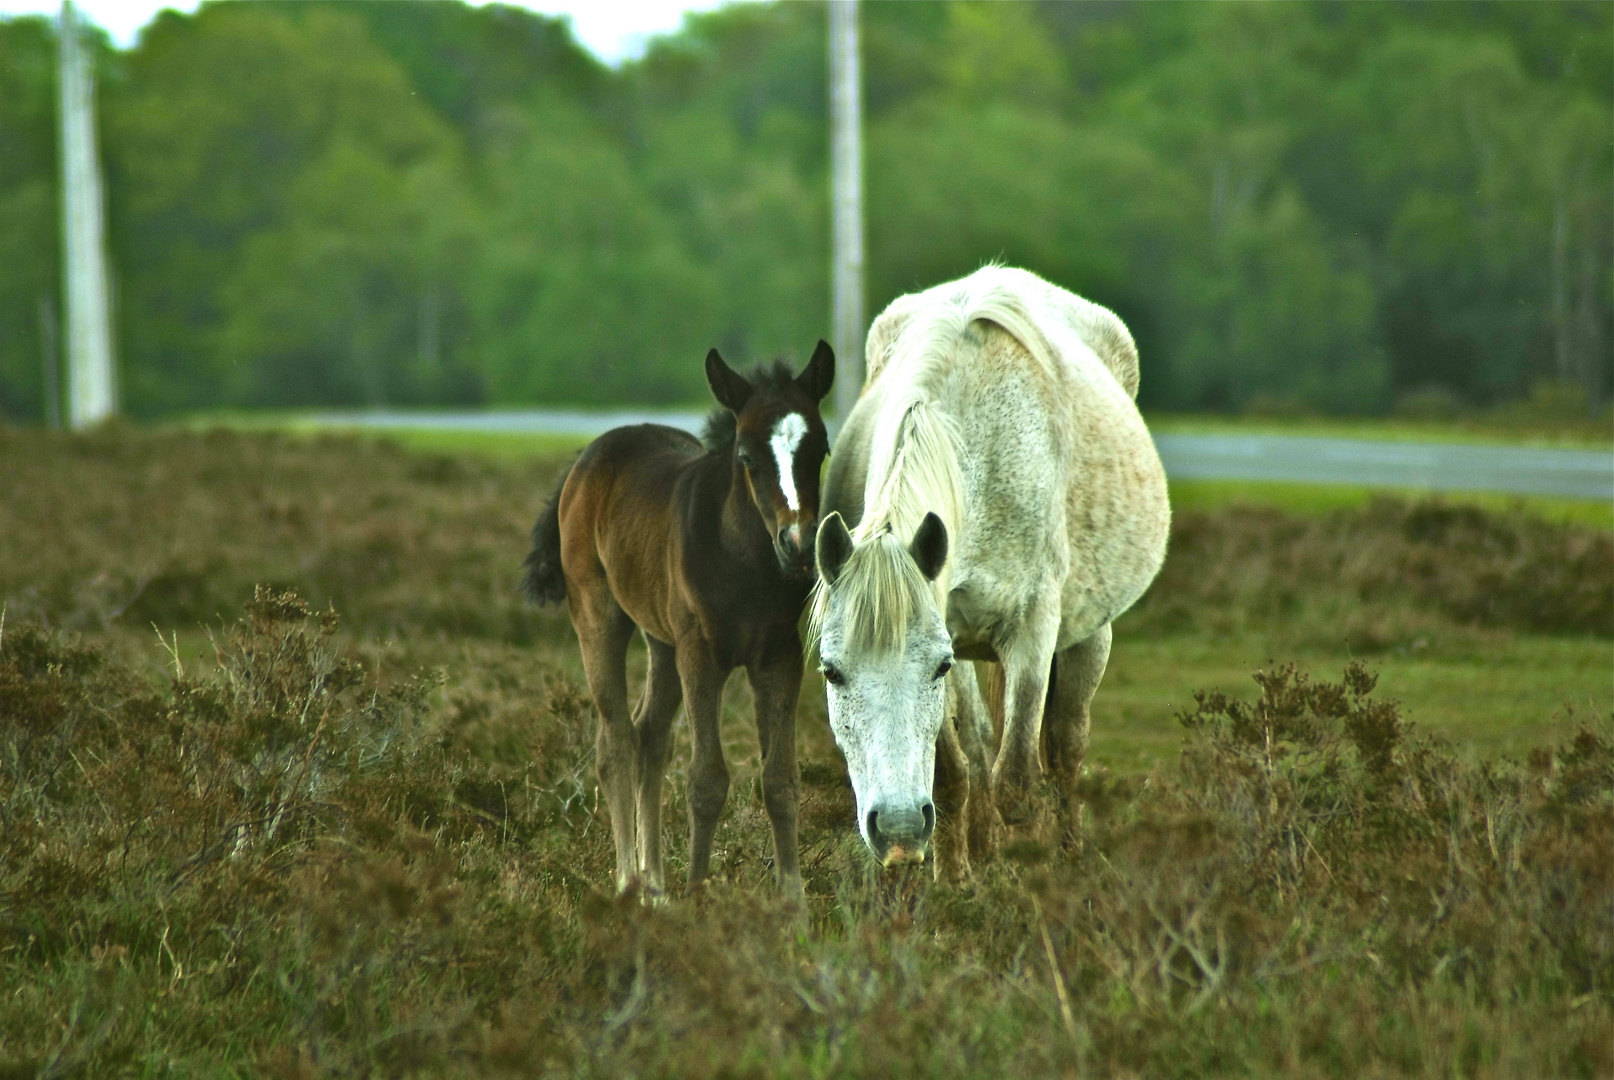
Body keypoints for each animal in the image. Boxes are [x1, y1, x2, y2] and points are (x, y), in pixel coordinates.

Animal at [813, 264, 1168, 878]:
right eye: (832, 672)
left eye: (935, 667)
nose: (898, 828)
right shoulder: (951, 624)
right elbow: (956, 774)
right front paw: (955, 885)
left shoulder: (1029, 630)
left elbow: (1020, 782)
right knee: (981, 748)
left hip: (1088, 636)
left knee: (1066, 748)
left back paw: (1068, 856)